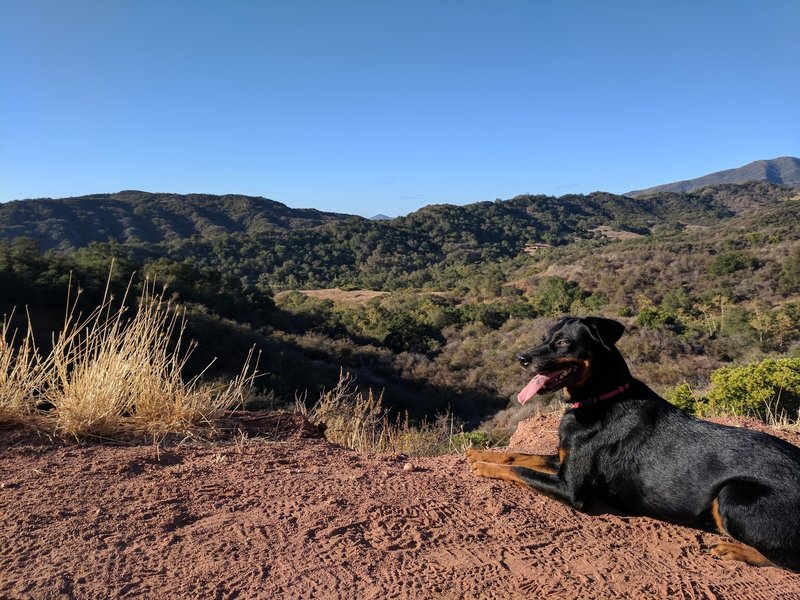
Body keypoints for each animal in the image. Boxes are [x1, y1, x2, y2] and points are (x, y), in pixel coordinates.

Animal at [466, 316, 800, 568]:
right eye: (544, 338)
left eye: (562, 343)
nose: (521, 358)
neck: (600, 397)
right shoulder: (562, 460)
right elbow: (518, 456)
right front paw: (480, 454)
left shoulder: (572, 490)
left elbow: (521, 470)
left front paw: (483, 467)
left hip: (734, 494)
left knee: (786, 559)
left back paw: (735, 549)